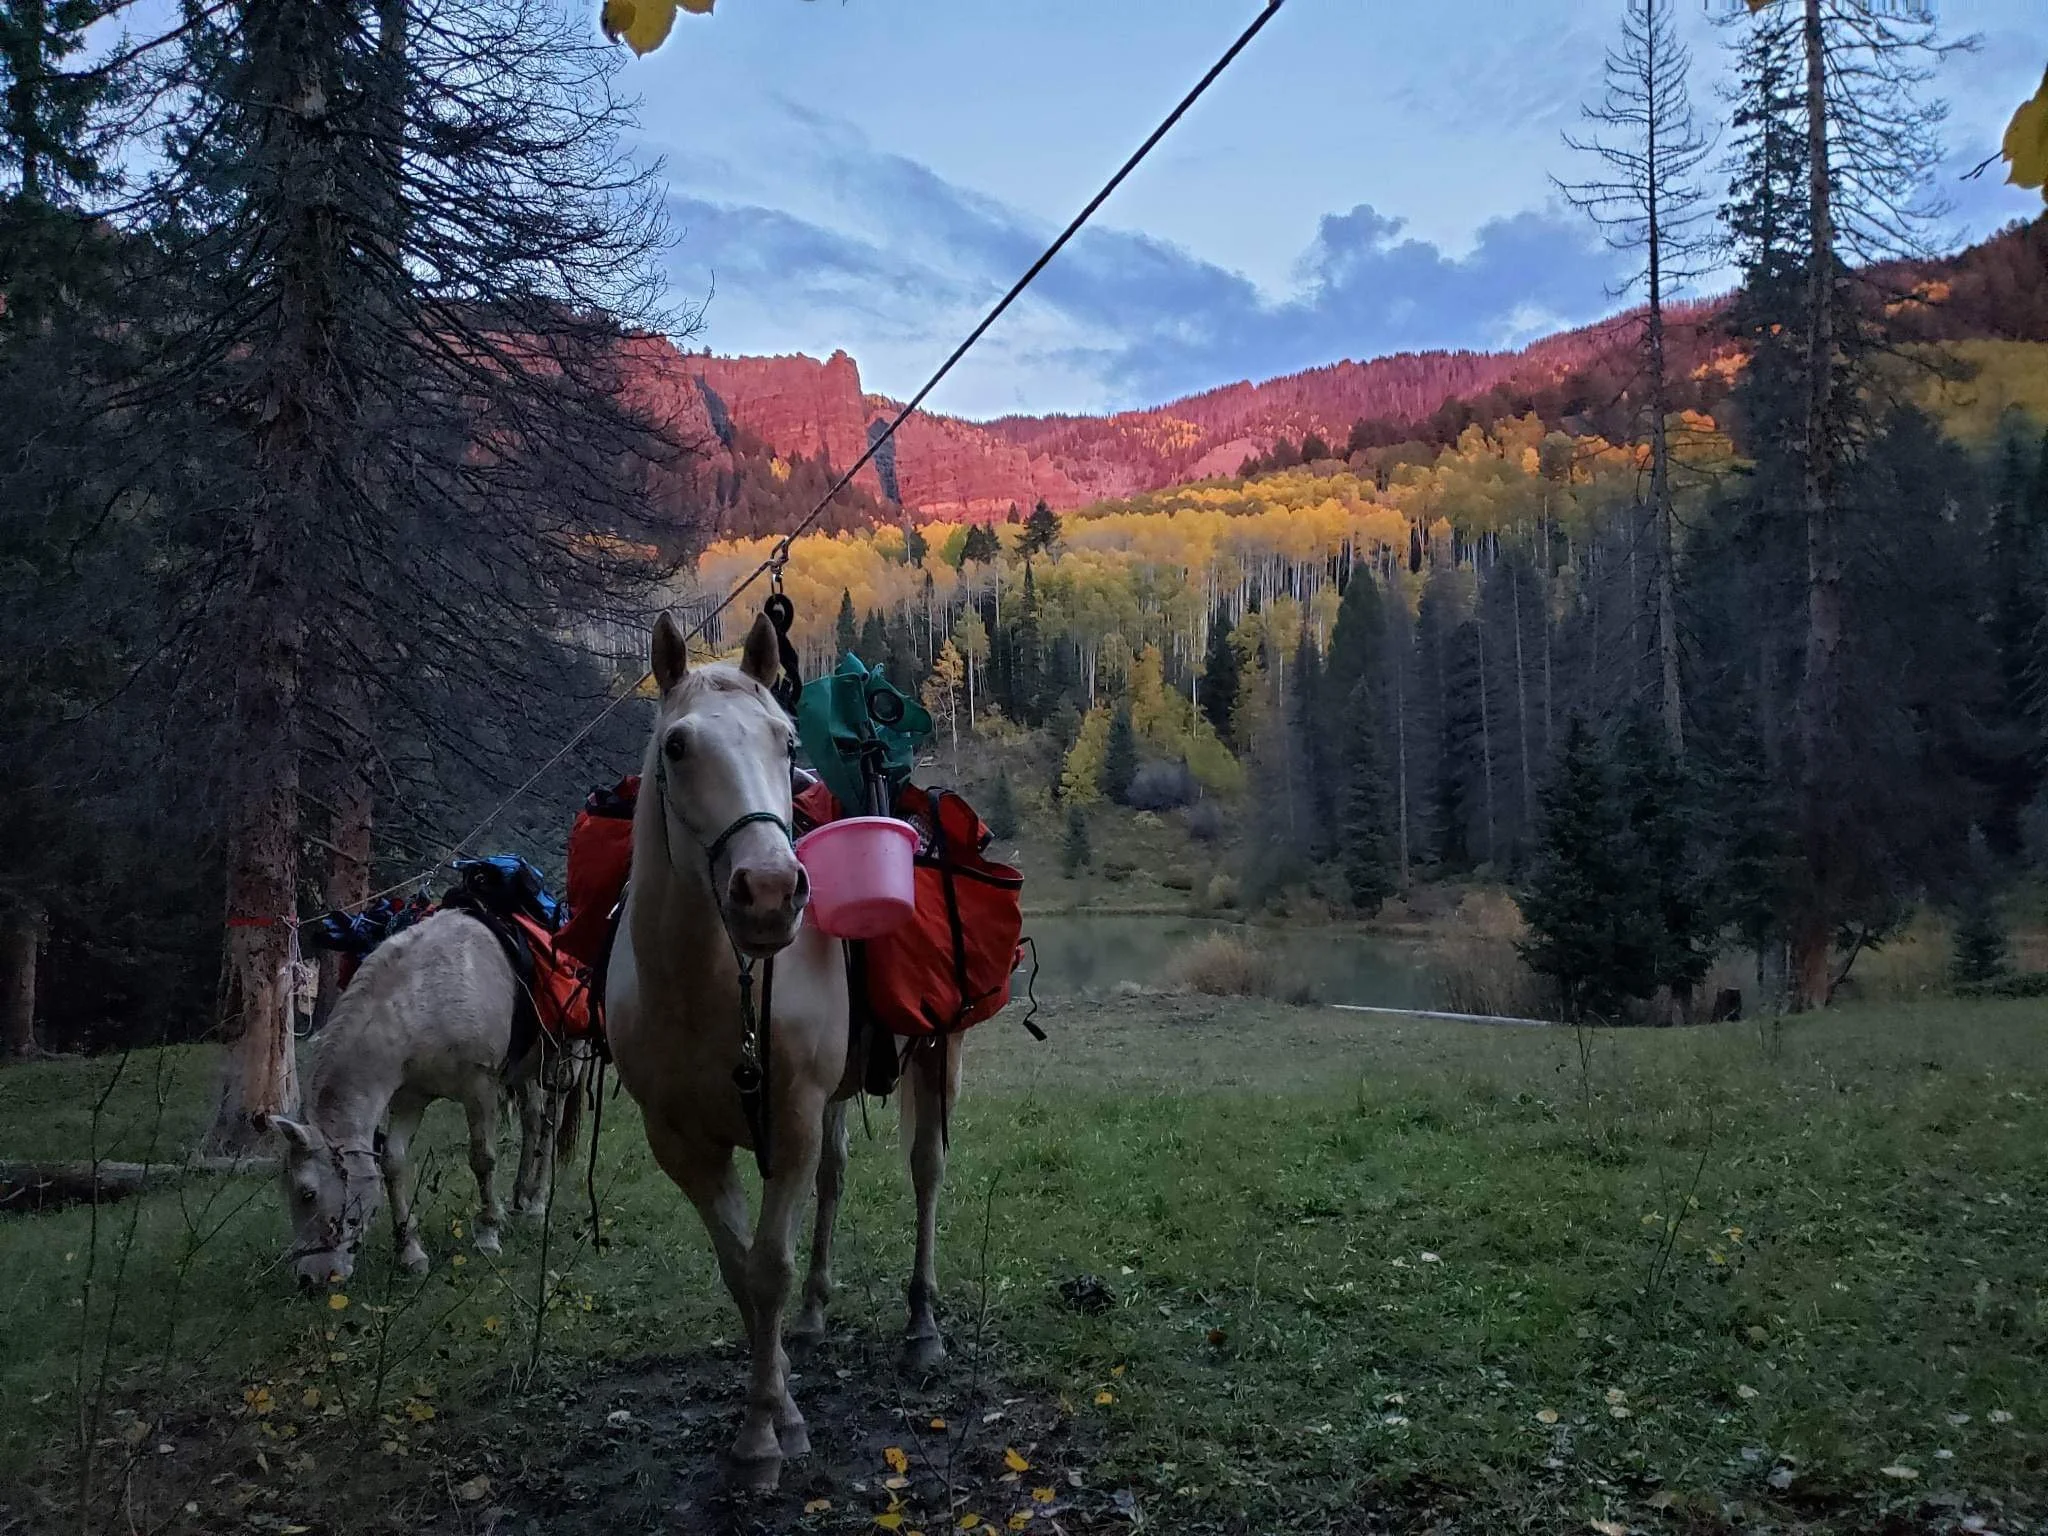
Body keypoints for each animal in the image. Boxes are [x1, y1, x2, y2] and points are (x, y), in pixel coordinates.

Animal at [259, 908, 582, 1290]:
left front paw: (488, 1232)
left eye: (307, 1193)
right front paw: (411, 1253)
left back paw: (536, 1203)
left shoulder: (480, 1087)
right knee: (533, 1121)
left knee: (550, 1125)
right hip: (522, 1073)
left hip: (563, 1061)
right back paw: (519, 1197)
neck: (426, 997)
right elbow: (393, 1163)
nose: (309, 1280)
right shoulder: (409, 1098)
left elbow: (482, 1159)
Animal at [606, 611, 962, 1491]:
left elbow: (770, 1263)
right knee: (833, 1181)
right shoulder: (682, 1144)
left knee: (926, 1173)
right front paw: (775, 1399)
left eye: (786, 740)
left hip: (937, 1055)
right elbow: (742, 1271)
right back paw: (811, 1319)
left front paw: (769, 1434)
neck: (707, 989)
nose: (770, 893)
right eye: (676, 746)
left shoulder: (790, 1120)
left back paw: (922, 1326)